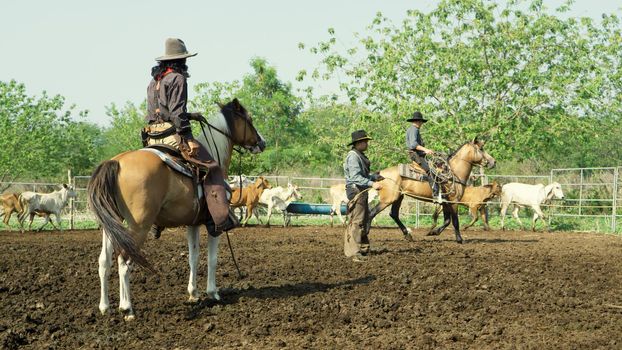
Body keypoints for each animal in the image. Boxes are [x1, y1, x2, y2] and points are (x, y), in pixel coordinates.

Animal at [86, 98, 266, 320]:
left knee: (104, 261)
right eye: (249, 119)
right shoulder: (214, 225)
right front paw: (213, 293)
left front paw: (193, 293)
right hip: (139, 226)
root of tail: (116, 162)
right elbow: (212, 259)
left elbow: (193, 257)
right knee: (124, 261)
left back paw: (105, 307)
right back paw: (127, 308)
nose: (262, 142)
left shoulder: (193, 224)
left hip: (111, 225)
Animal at [370, 137, 498, 243]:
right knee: (372, 212)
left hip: (398, 197)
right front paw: (459, 239)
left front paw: (433, 232)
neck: (453, 173)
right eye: (481, 148)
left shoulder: (445, 203)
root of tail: (381, 173)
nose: (493, 162)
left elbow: (447, 221)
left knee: (393, 214)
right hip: (388, 199)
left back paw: (408, 235)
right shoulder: (453, 201)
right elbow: (455, 221)